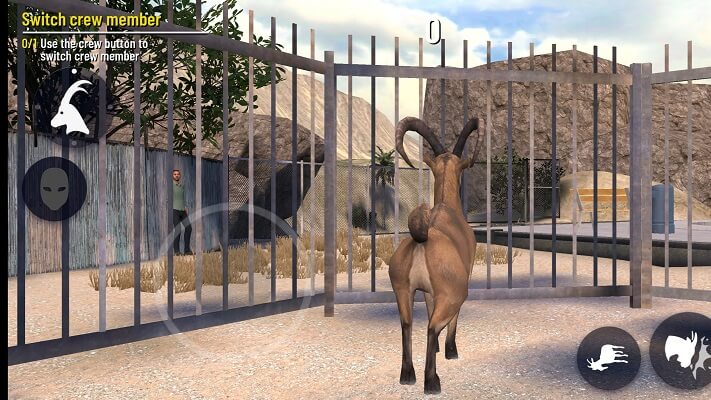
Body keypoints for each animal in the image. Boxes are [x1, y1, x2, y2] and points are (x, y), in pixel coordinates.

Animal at [389, 116, 480, 394]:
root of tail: (421, 239)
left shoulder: (428, 291)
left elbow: (427, 309)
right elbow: (451, 321)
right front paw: (450, 350)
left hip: (403, 289)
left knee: (407, 324)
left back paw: (407, 376)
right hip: (453, 293)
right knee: (431, 327)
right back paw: (432, 382)